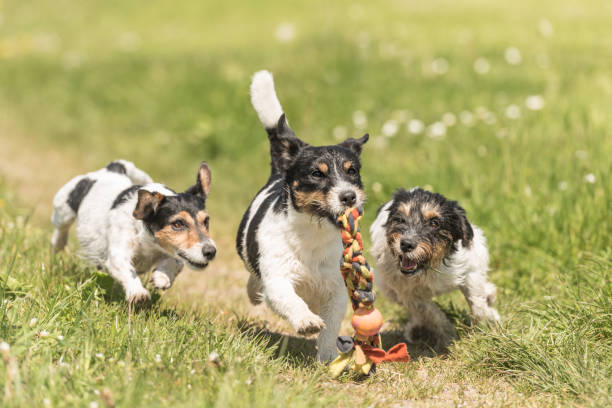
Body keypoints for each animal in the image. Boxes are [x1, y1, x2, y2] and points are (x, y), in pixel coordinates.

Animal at [51, 159, 216, 302]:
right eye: (178, 223)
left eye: (206, 221)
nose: (211, 252)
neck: (150, 244)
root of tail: (112, 169)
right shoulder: (118, 254)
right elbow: (128, 271)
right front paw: (138, 292)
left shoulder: (179, 255)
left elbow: (174, 261)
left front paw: (162, 277)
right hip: (63, 209)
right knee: (60, 230)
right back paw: (58, 243)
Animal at [234, 71, 368, 360]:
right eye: (317, 173)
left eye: (352, 171)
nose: (349, 196)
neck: (313, 235)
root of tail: (279, 170)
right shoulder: (277, 277)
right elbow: (289, 299)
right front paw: (306, 321)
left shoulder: (335, 289)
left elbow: (331, 325)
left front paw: (327, 355)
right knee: (256, 282)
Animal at [370, 188, 500, 350]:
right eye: (399, 219)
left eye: (434, 222)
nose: (406, 244)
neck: (429, 266)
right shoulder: (410, 294)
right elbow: (432, 314)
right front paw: (448, 337)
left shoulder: (469, 269)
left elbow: (477, 304)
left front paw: (486, 324)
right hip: (388, 289)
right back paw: (416, 329)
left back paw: (489, 295)